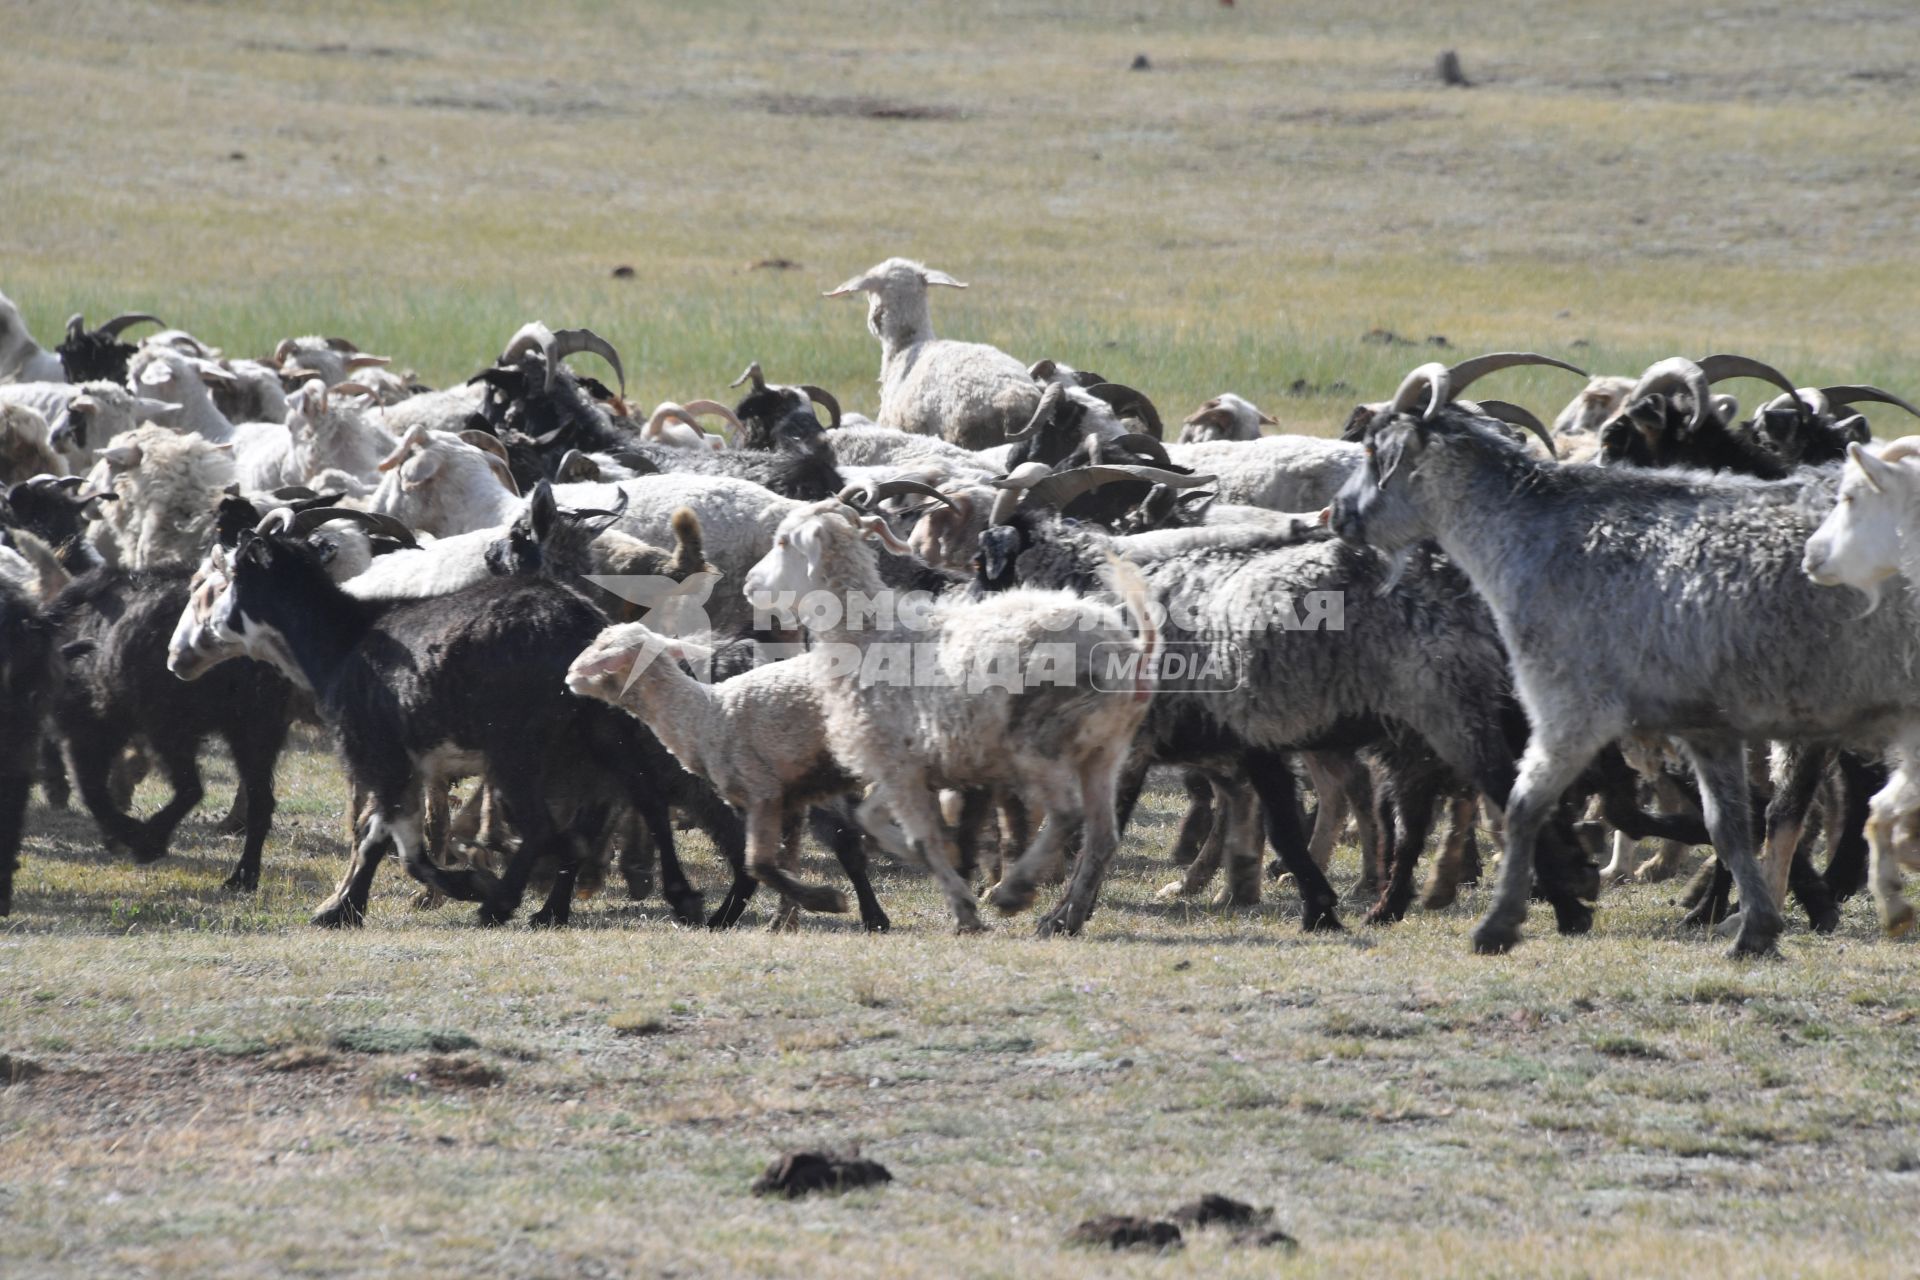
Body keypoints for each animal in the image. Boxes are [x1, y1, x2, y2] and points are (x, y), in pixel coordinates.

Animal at [737, 485, 1152, 936]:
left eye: (783, 542)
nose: (749, 583)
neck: (869, 634)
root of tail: (1126, 649)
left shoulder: (896, 762)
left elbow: (919, 837)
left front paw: (964, 908)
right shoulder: (905, 763)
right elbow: (871, 819)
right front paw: (949, 863)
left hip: (1039, 742)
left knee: (1066, 813)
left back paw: (1015, 892)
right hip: (1105, 750)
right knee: (1103, 836)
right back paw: (1063, 919)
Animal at [1336, 391, 1920, 959]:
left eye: (1371, 453)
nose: (1336, 514)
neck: (1532, 534)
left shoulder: (1570, 703)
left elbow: (1524, 804)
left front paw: (1505, 923)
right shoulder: (1705, 726)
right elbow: (1728, 824)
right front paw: (1754, 929)